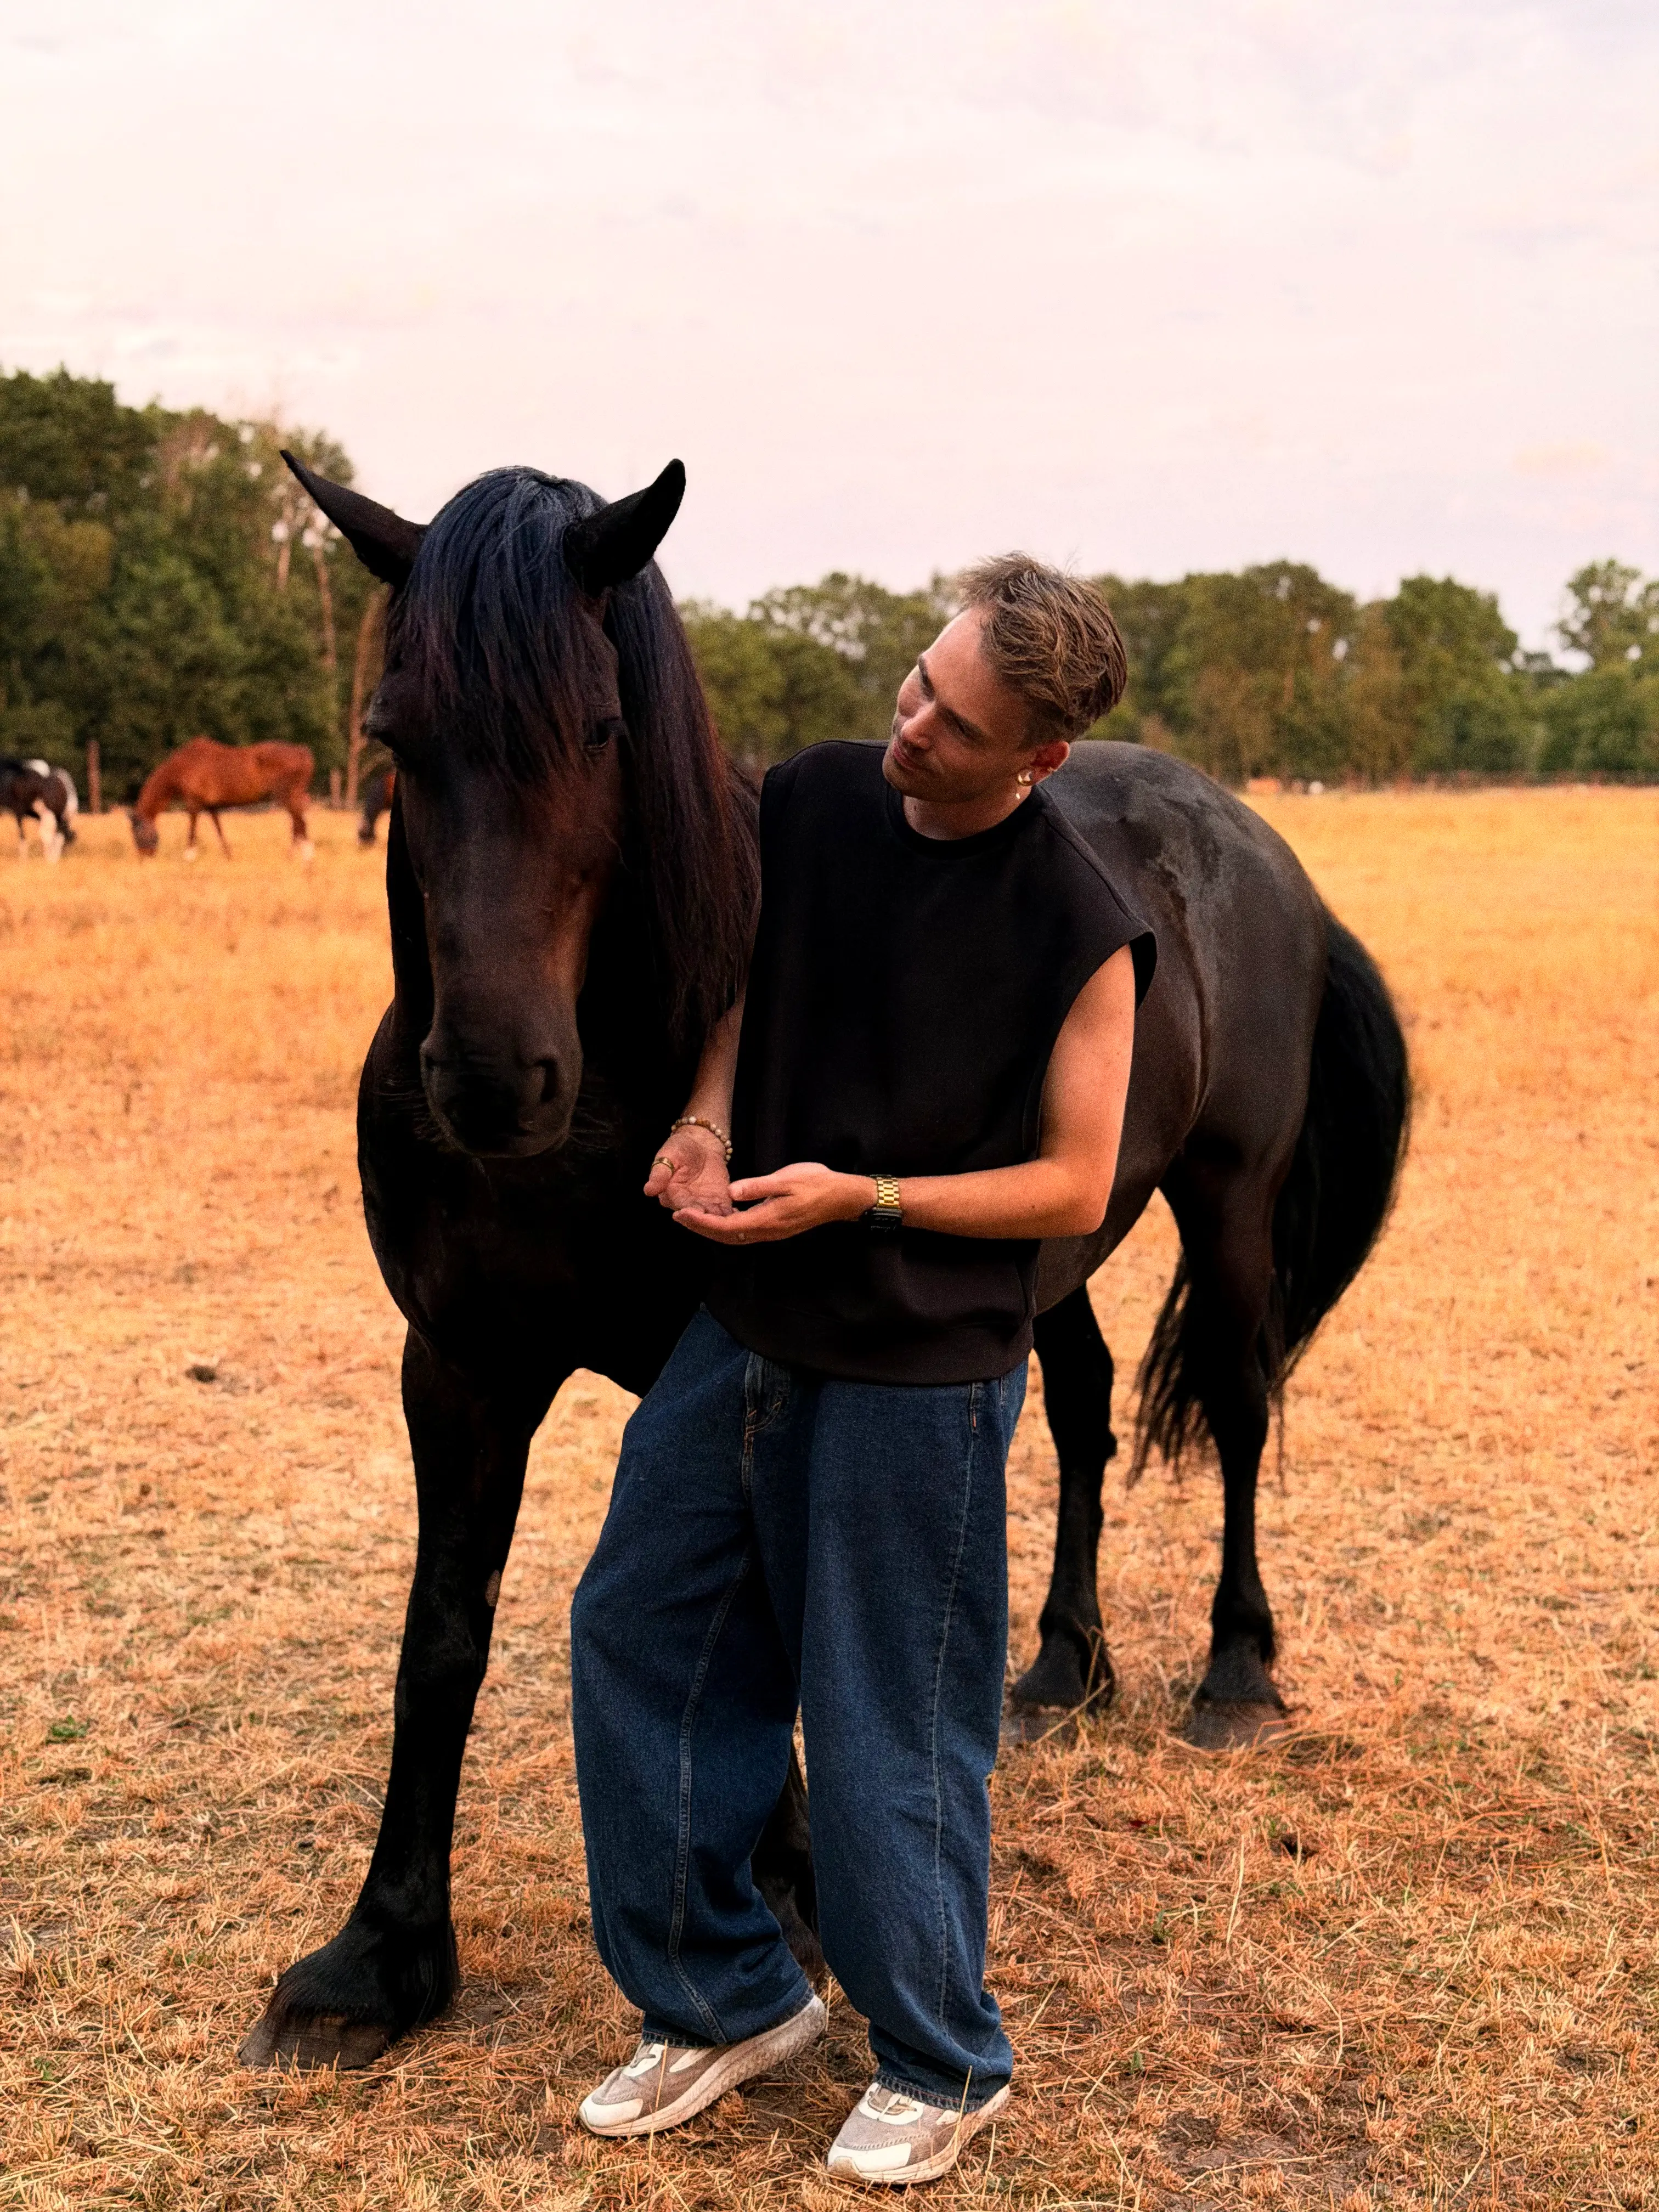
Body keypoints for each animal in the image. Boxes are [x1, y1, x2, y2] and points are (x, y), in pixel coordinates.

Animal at [126, 736, 315, 860]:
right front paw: (228, 856)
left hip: (287, 796)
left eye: (137, 833)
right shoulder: (212, 807)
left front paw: (189, 857)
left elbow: (192, 829)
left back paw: (299, 857)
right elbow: (219, 830)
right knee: (298, 823)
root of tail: (301, 751)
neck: (184, 766)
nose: (143, 858)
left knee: (299, 823)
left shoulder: (193, 803)